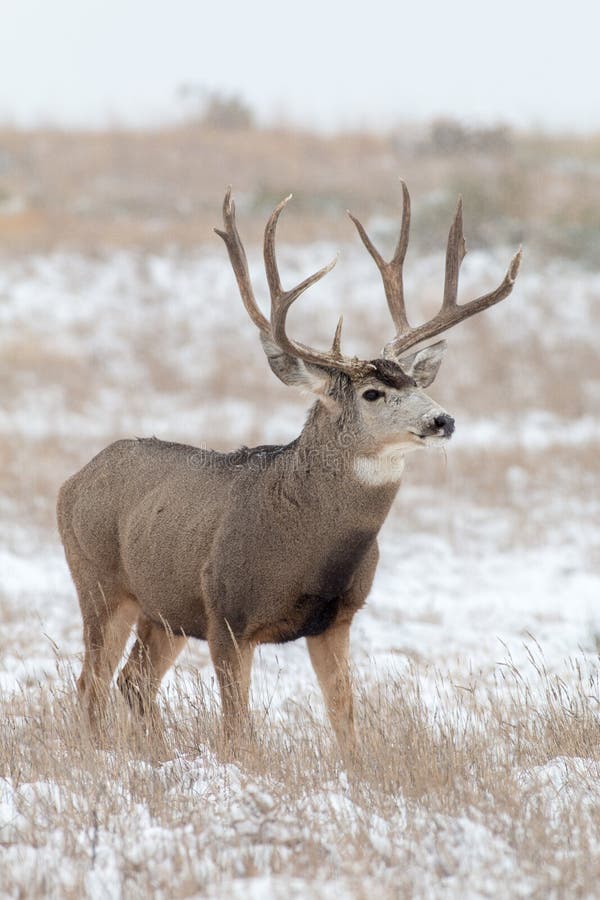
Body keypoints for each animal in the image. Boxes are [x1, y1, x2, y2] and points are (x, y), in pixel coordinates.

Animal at [56, 183, 520, 752]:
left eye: (415, 383)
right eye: (372, 392)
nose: (443, 419)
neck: (307, 548)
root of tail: (74, 479)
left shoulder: (335, 620)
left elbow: (345, 718)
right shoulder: (227, 614)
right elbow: (238, 728)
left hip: (164, 607)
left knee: (134, 681)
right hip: (99, 581)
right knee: (93, 681)